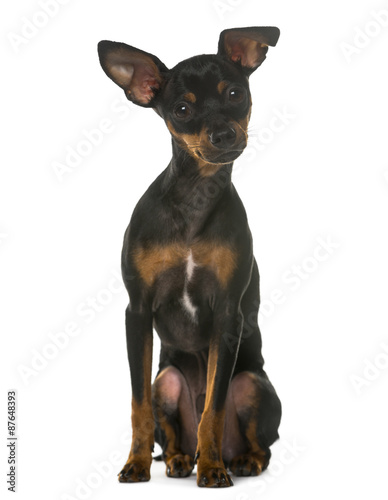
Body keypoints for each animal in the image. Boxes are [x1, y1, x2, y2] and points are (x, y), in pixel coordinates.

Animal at [98, 27, 280, 488]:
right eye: (181, 110)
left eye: (235, 93)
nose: (223, 135)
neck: (195, 199)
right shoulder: (137, 312)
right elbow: (138, 405)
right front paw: (136, 464)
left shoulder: (228, 315)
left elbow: (213, 408)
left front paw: (214, 470)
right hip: (167, 382)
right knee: (173, 434)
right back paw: (180, 460)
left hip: (253, 384)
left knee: (260, 442)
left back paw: (234, 461)